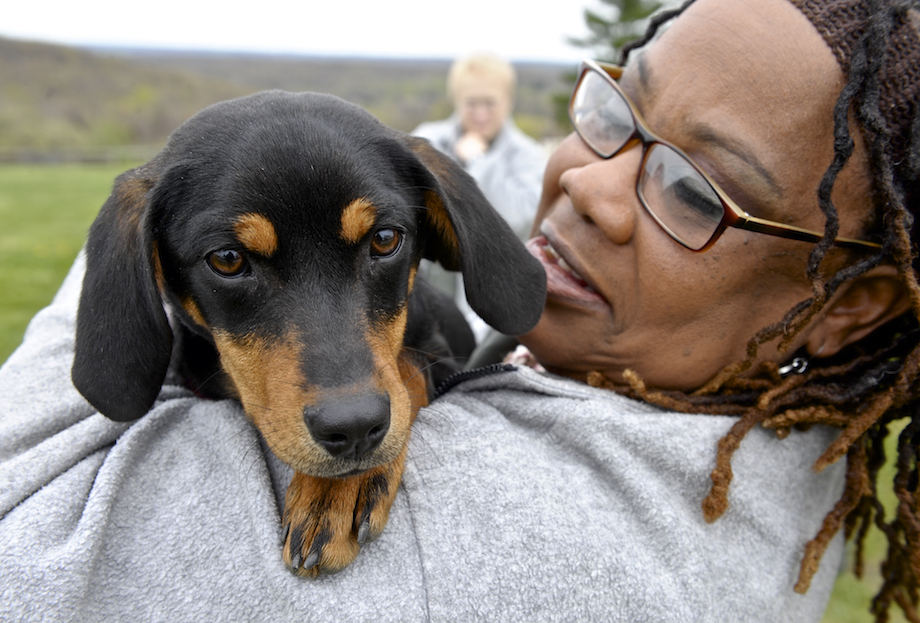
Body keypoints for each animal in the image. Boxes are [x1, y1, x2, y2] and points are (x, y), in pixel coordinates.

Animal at [73, 90, 548, 576]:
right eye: (227, 258)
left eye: (385, 238)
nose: (355, 430)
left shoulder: (438, 355)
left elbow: (406, 367)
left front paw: (338, 489)